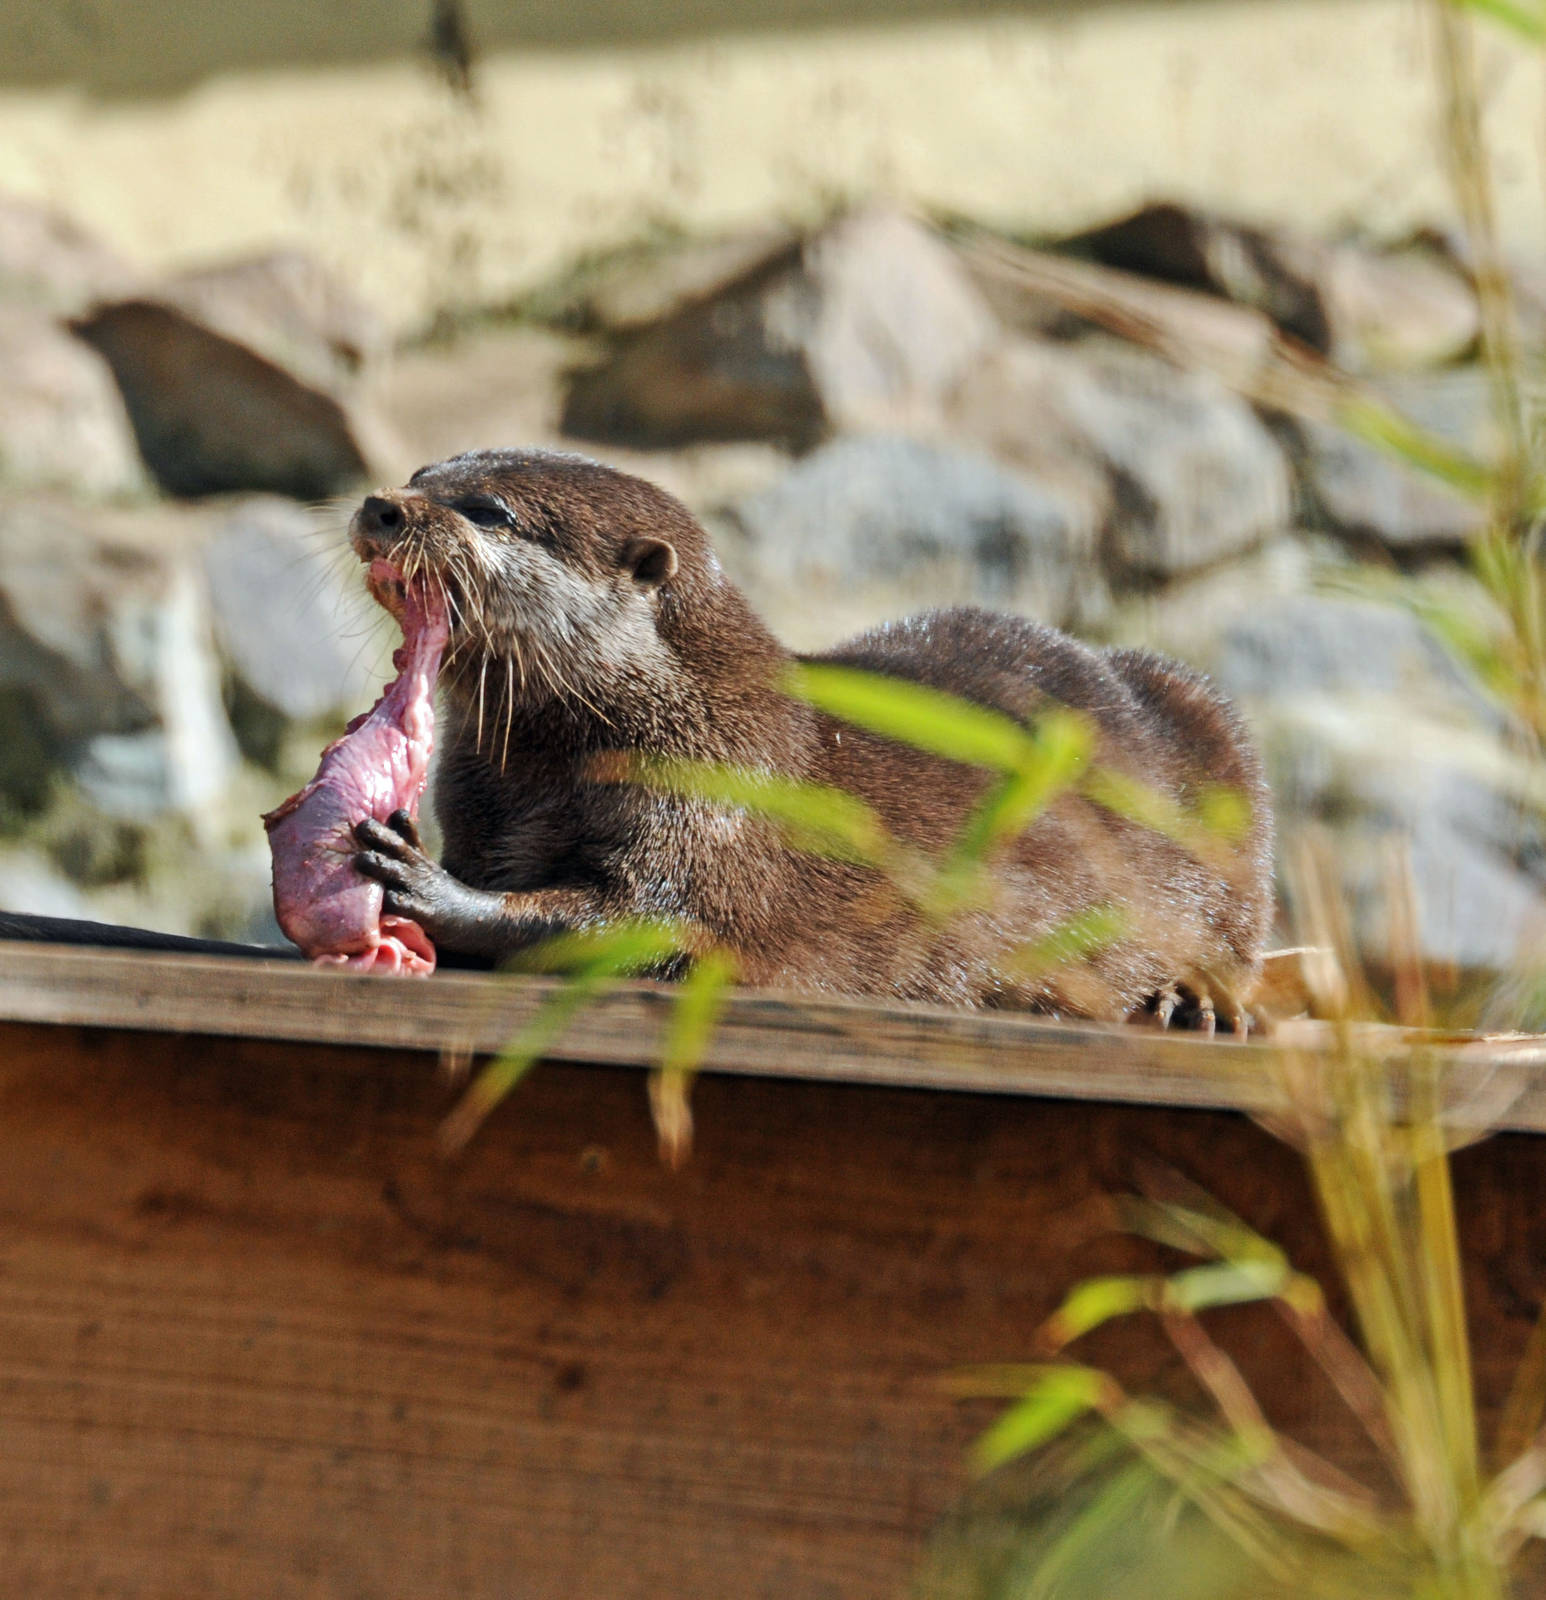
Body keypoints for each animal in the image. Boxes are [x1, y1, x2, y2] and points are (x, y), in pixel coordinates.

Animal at [346, 448, 1273, 1028]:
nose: (382, 504)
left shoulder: (716, 810)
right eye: (423, 475)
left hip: (1213, 737)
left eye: (490, 511)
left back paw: (1191, 996)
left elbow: (636, 923)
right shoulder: (480, 804)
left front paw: (427, 884)